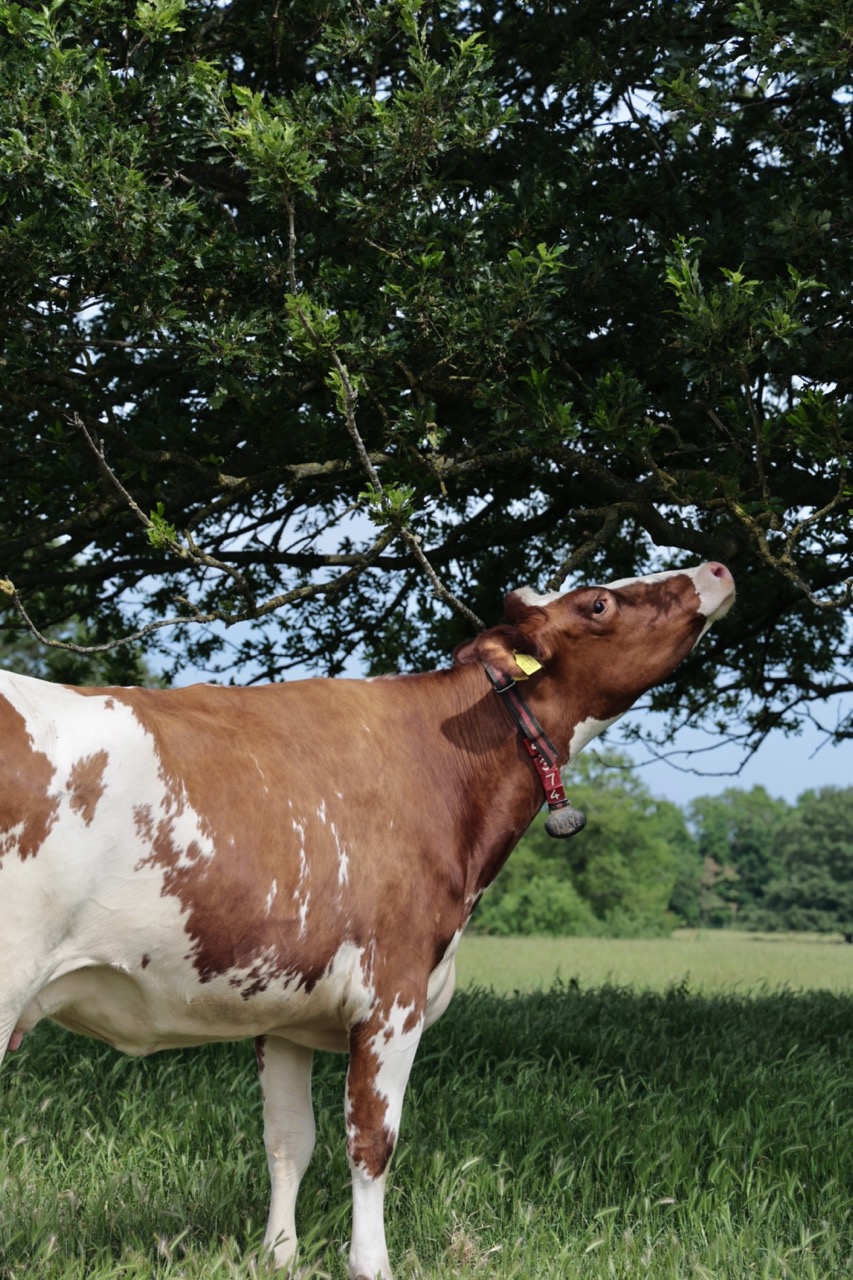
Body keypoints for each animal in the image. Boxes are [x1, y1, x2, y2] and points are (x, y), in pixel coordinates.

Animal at [0, 561, 734, 1279]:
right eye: (598, 603)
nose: (717, 567)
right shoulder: (393, 993)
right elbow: (371, 1140)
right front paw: (370, 1264)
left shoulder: (284, 1002)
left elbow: (287, 1139)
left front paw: (279, 1256)